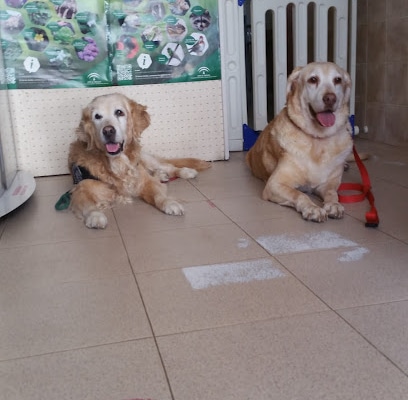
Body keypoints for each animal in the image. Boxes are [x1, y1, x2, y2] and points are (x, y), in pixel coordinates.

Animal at [67, 91, 210, 228]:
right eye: (97, 116)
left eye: (119, 112)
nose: (108, 131)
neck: (118, 163)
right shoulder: (81, 189)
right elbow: (88, 205)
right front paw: (95, 216)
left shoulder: (145, 181)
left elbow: (158, 194)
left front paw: (169, 202)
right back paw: (162, 175)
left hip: (147, 160)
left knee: (168, 167)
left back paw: (186, 172)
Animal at [245, 61, 354, 222]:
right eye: (313, 79)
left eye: (337, 80)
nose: (330, 98)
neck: (317, 139)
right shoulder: (274, 184)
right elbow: (299, 194)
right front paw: (312, 208)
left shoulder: (328, 184)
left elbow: (332, 193)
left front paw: (334, 205)